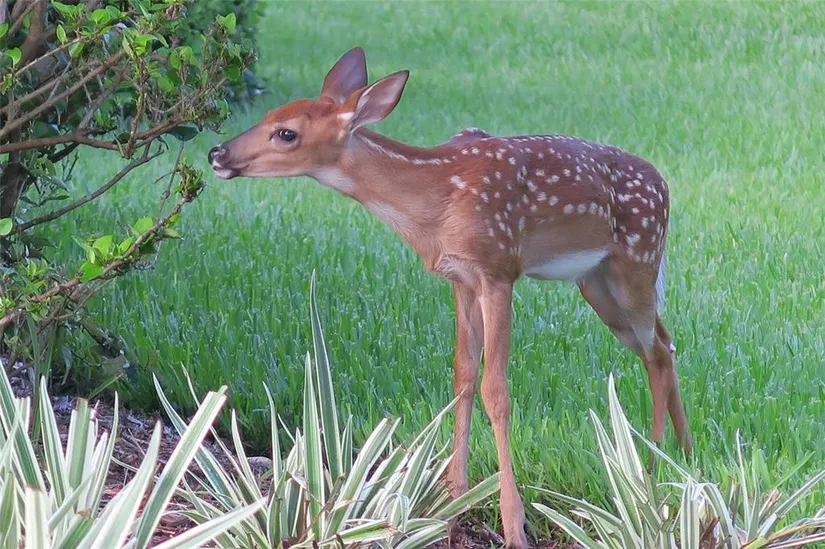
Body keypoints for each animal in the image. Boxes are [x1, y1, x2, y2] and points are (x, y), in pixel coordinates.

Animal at [208, 47, 693, 548]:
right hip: (596, 281)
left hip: (636, 260)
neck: (434, 203)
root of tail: (664, 185)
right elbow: (463, 376)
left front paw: (513, 525)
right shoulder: (459, 278)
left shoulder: (498, 269)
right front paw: (452, 508)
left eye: (286, 132)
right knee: (664, 342)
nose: (216, 153)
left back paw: (652, 472)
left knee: (658, 349)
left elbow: (495, 390)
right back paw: (683, 460)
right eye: (267, 115)